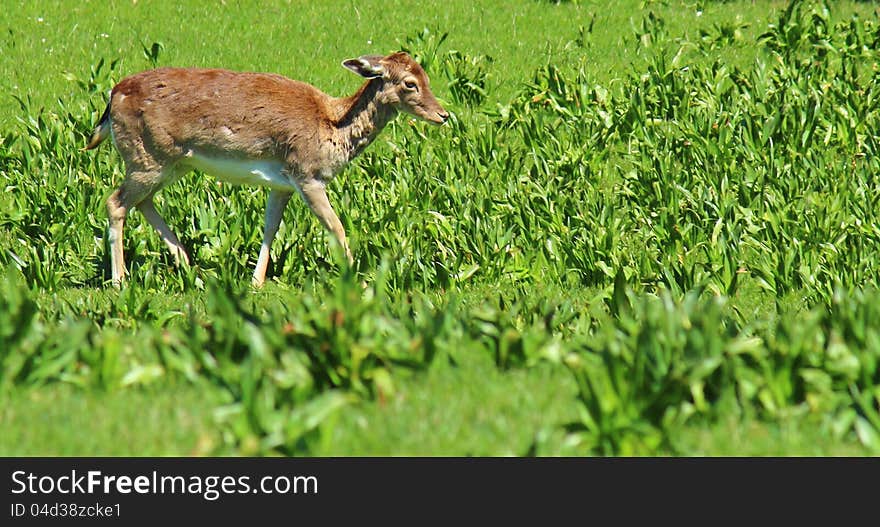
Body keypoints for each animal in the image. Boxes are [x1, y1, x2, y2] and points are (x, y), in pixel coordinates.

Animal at [84, 51, 446, 286]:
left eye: (427, 77)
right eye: (410, 83)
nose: (443, 114)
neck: (331, 125)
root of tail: (112, 97)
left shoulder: (282, 183)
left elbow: (271, 226)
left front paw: (256, 281)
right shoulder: (306, 174)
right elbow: (336, 227)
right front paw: (357, 277)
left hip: (171, 163)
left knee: (140, 201)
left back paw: (187, 263)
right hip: (146, 157)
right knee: (115, 201)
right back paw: (120, 280)